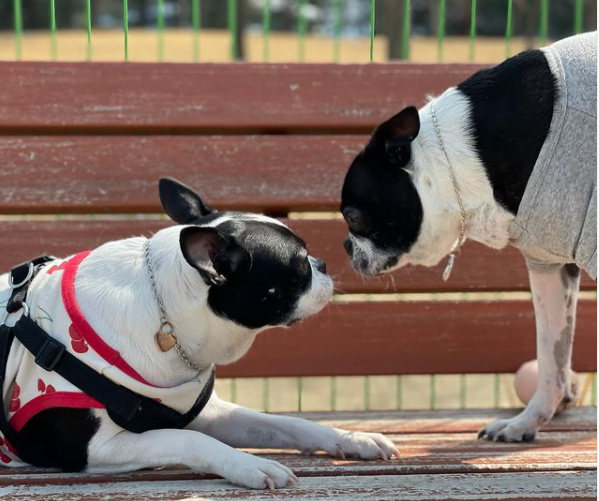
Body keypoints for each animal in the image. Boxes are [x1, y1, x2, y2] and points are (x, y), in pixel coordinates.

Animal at [2, 178, 400, 486]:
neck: (164, 313)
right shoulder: (95, 449)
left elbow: (285, 423)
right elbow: (191, 441)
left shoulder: (209, 412)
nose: (323, 264)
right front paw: (250, 465)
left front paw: (351, 437)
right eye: (301, 264)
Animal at [340, 32, 596, 442]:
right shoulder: (549, 265)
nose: (346, 246)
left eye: (353, 217)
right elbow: (551, 355)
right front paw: (526, 422)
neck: (468, 161)